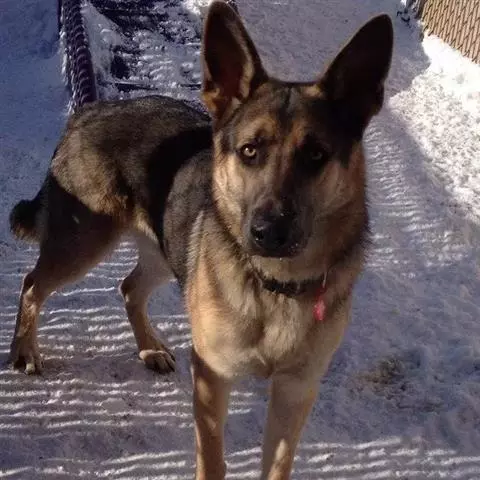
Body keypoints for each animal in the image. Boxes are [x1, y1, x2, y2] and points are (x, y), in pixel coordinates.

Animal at [9, 2, 393, 478]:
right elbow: (212, 458)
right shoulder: (212, 377)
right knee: (32, 284)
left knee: (128, 287)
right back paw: (25, 350)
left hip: (163, 250)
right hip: (82, 244)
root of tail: (93, 109)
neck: (275, 287)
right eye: (250, 151)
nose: (268, 233)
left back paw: (149, 348)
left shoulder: (295, 391)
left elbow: (278, 464)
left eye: (316, 155)